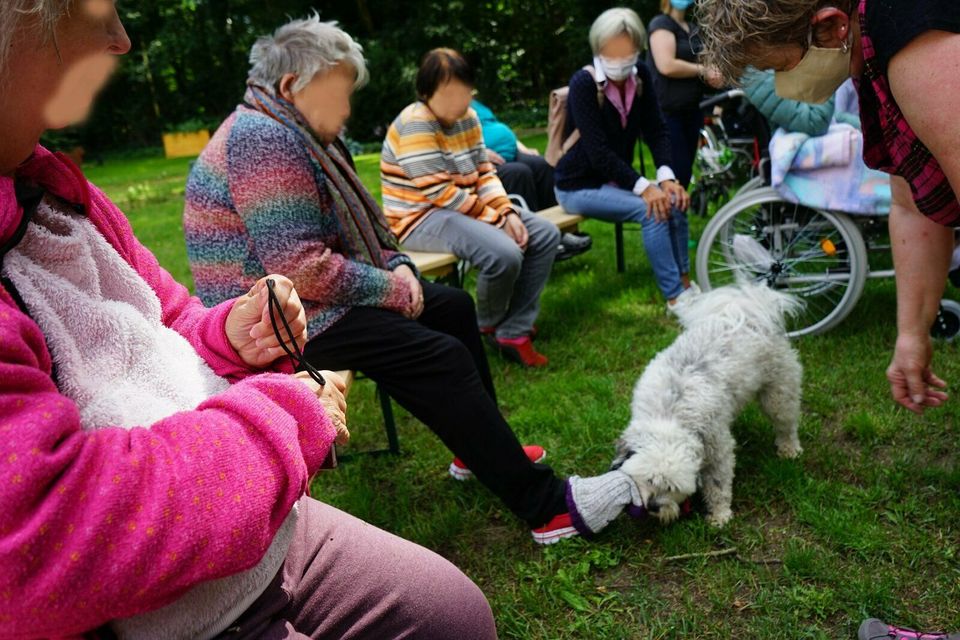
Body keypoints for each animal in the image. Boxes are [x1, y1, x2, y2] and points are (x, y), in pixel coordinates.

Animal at [612, 282, 808, 528]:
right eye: (649, 480)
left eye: (672, 488)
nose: (654, 507)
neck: (670, 415)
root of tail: (749, 308)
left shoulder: (718, 450)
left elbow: (718, 485)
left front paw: (719, 515)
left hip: (779, 395)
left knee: (786, 423)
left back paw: (789, 449)